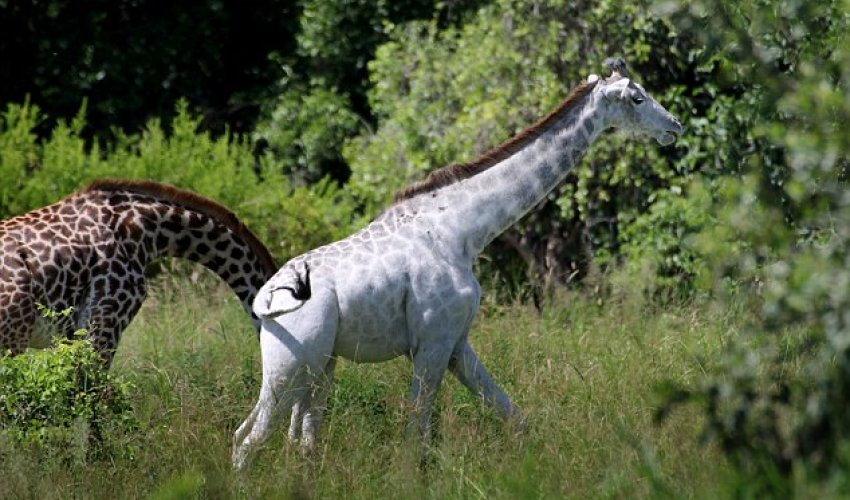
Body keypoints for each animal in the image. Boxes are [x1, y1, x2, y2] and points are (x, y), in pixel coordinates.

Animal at [232, 58, 684, 468]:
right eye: (637, 97)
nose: (675, 127)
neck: (462, 230)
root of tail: (264, 300)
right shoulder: (431, 341)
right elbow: (416, 437)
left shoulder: (456, 342)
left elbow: (513, 416)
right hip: (292, 366)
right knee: (250, 439)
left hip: (319, 368)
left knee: (290, 440)